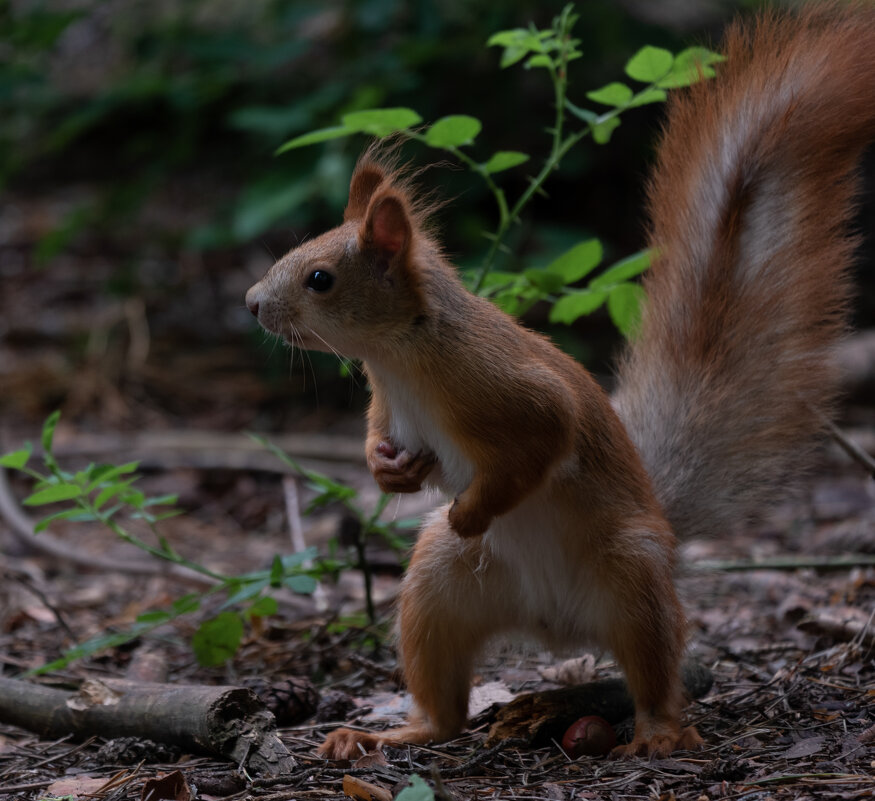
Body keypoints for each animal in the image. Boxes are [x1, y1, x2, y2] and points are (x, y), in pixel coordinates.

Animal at [245, 4, 875, 756]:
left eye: (319, 278)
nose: (251, 302)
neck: (400, 359)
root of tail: (557, 625)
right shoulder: (388, 405)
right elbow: (380, 439)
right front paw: (388, 469)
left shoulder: (510, 389)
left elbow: (541, 443)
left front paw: (472, 510)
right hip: (438, 588)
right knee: (443, 703)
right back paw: (393, 734)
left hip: (631, 577)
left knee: (654, 667)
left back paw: (657, 732)